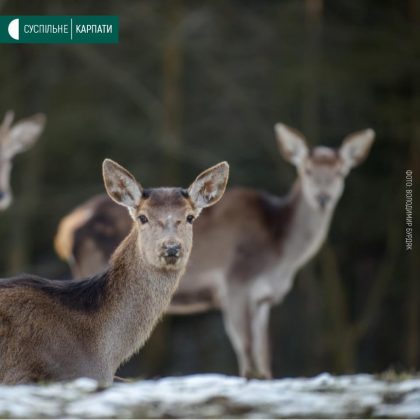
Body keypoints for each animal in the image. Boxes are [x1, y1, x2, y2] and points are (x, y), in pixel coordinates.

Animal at [53, 124, 374, 378]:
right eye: (306, 170)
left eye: (341, 171)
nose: (323, 197)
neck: (280, 253)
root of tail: (66, 230)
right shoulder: (236, 284)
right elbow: (248, 355)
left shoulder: (264, 298)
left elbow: (264, 358)